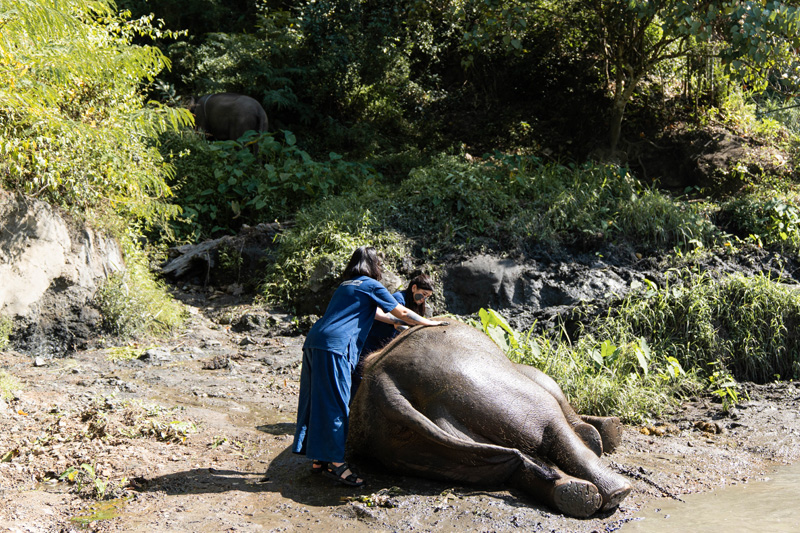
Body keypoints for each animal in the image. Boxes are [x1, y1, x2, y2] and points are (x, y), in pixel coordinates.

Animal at [348, 320, 632, 516]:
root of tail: (385, 380)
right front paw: (606, 433)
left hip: (412, 449)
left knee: (510, 466)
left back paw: (576, 494)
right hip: (499, 391)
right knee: (552, 428)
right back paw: (616, 490)